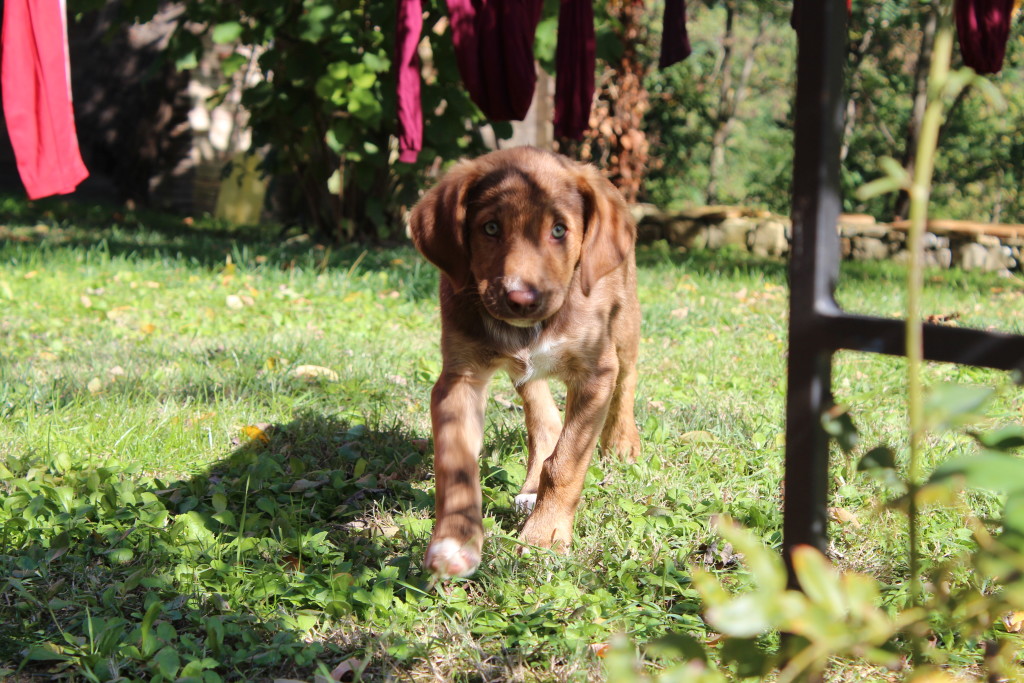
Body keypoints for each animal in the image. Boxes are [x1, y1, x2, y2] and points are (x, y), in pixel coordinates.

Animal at [409, 145, 638, 577]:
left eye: (559, 231)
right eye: (490, 228)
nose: (521, 299)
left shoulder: (596, 374)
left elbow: (566, 462)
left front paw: (545, 535)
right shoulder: (459, 378)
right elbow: (455, 461)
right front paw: (455, 541)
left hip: (625, 320)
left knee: (628, 377)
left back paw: (622, 441)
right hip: (522, 372)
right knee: (543, 418)